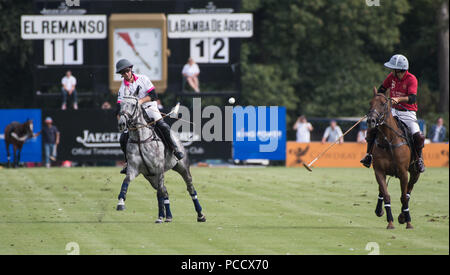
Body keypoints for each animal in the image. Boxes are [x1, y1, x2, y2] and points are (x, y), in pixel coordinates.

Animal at [116, 96, 207, 224]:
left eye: (133, 105)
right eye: (121, 104)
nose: (122, 123)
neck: (140, 139)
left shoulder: (159, 168)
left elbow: (159, 193)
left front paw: (159, 217)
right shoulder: (133, 169)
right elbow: (126, 181)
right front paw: (120, 203)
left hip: (182, 167)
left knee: (190, 189)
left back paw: (200, 215)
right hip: (151, 177)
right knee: (165, 191)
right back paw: (168, 216)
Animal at [366, 88, 422, 231]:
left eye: (383, 103)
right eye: (370, 103)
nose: (371, 121)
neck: (389, 141)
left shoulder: (403, 172)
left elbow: (404, 196)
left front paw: (408, 222)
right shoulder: (379, 171)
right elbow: (386, 195)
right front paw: (390, 222)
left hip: (415, 172)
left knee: (408, 191)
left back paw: (403, 216)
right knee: (383, 190)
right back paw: (379, 210)